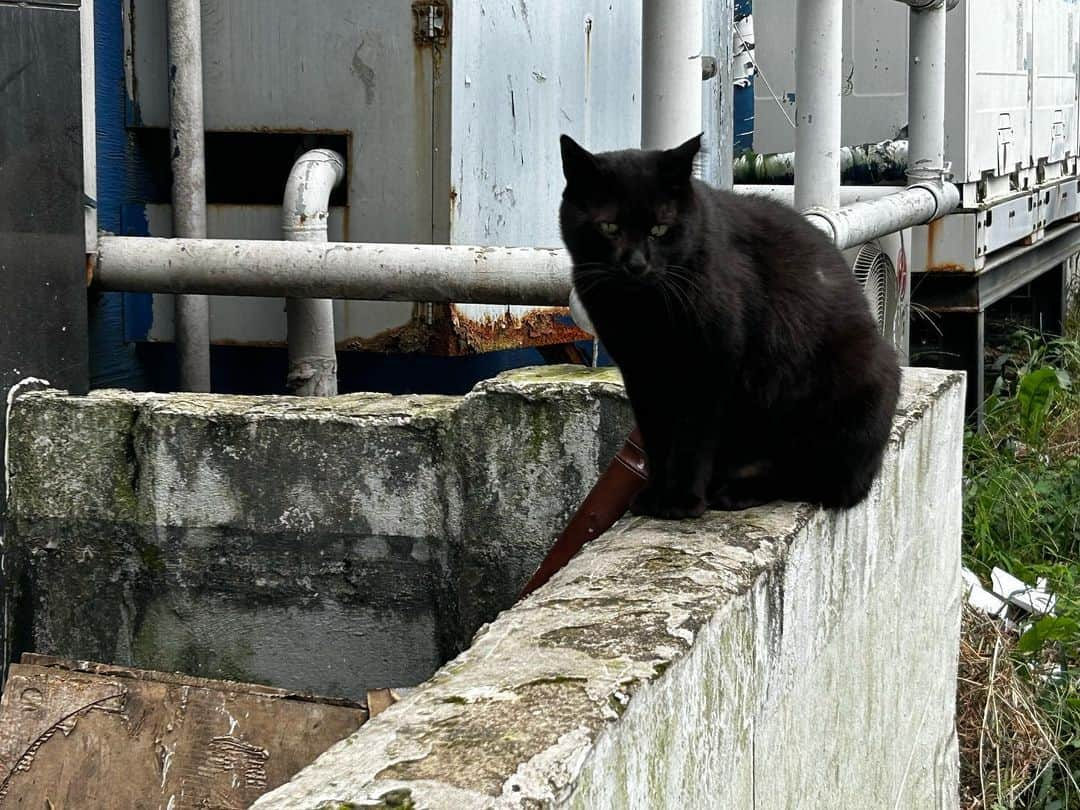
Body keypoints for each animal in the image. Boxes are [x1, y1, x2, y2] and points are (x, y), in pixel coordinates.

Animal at [561, 130, 898, 516]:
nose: (635, 264)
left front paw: (680, 501)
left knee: (816, 481)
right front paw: (655, 494)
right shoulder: (642, 373)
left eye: (660, 229)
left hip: (852, 387)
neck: (645, 308)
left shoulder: (712, 363)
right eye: (609, 227)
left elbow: (692, 439)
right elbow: (657, 438)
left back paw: (737, 490)